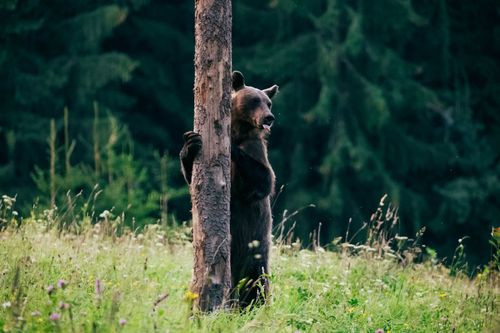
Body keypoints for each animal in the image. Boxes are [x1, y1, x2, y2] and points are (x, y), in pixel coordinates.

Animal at [181, 70, 278, 306]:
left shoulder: (256, 151)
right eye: (254, 100)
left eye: (268, 102)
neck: (239, 130)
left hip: (256, 249)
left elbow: (265, 181)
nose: (269, 117)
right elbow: (190, 177)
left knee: (257, 282)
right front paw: (190, 143)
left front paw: (230, 147)